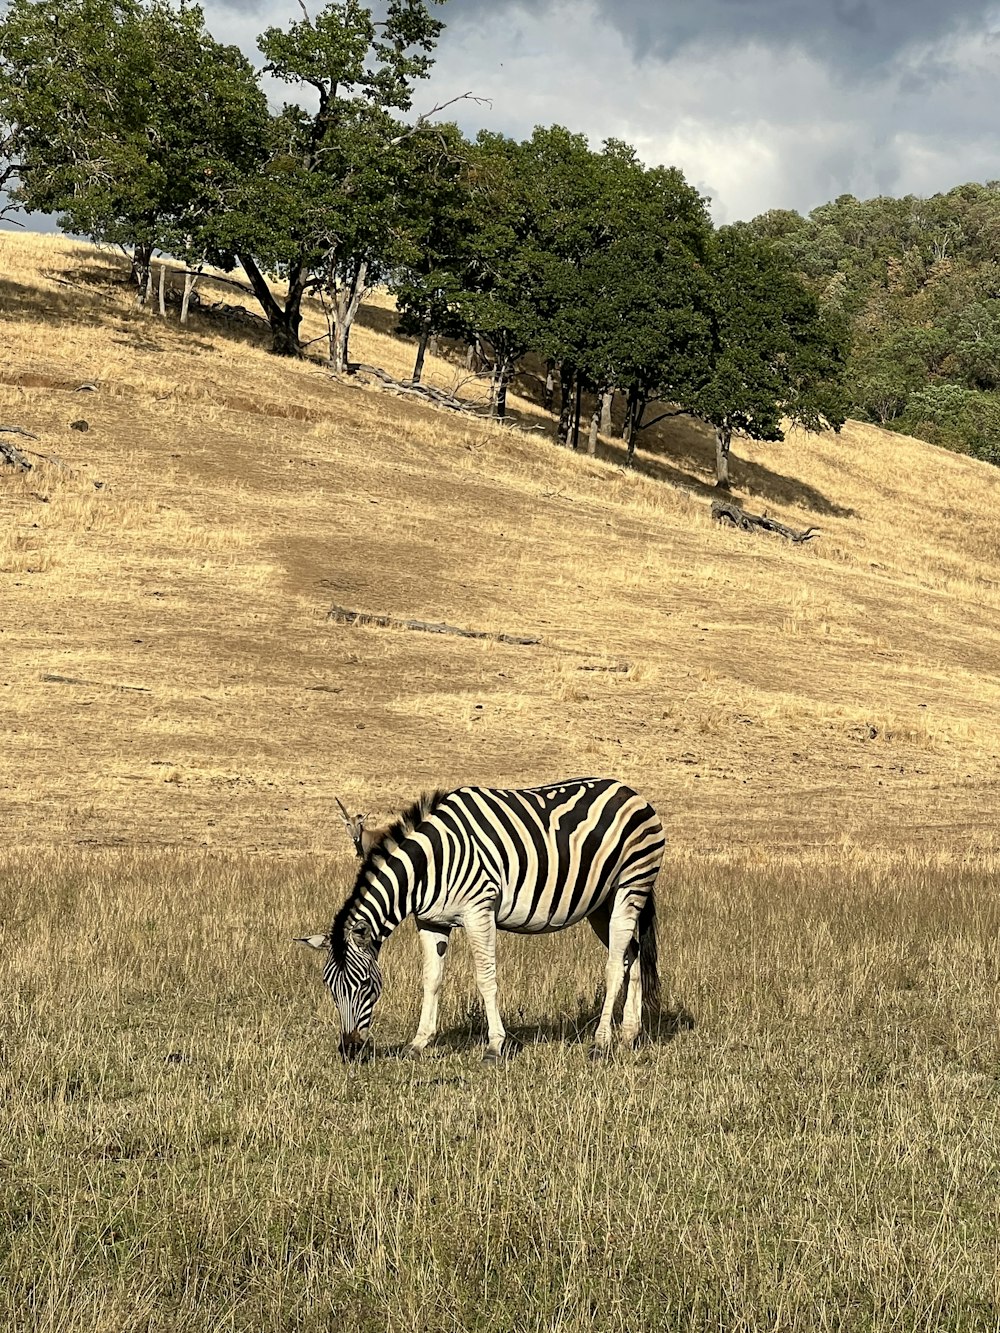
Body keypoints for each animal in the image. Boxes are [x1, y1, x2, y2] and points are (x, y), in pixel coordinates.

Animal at [301, 778, 669, 1055]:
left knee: (615, 965)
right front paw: (419, 1043)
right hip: (602, 903)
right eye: (329, 987)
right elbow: (431, 979)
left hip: (632, 883)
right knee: (631, 955)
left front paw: (495, 1045)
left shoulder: (479, 910)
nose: (349, 1049)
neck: (430, 863)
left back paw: (601, 1042)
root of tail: (630, 790)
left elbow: (485, 978)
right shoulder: (430, 921)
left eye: (364, 984)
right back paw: (629, 1034)